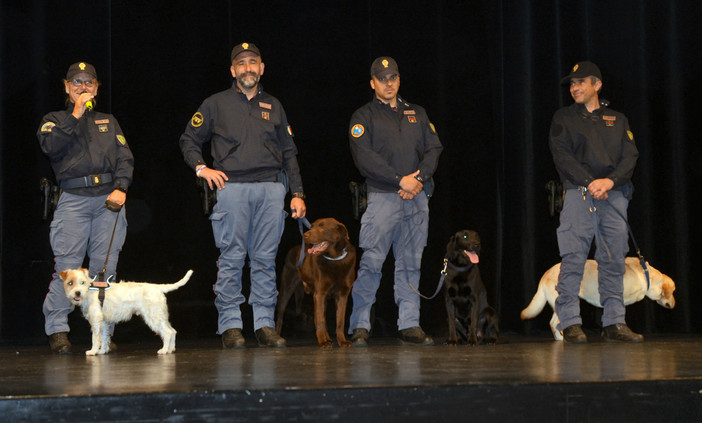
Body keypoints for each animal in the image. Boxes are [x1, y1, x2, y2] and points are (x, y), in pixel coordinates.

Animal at [59, 268, 192, 354]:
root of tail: (157, 287)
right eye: (70, 283)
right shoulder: (104, 322)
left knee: (168, 332)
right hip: (160, 316)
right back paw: (171, 349)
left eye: (82, 282)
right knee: (173, 331)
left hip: (154, 318)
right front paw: (102, 351)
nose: (77, 293)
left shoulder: (96, 321)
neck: (90, 291)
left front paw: (93, 351)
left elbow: (95, 338)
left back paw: (164, 350)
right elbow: (104, 337)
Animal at [276, 219, 358, 348]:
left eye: (322, 228)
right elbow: (319, 320)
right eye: (311, 227)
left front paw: (342, 341)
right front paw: (323, 342)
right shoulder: (320, 294)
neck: (334, 259)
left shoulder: (342, 295)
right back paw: (277, 337)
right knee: (280, 316)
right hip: (287, 288)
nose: (304, 236)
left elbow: (340, 321)